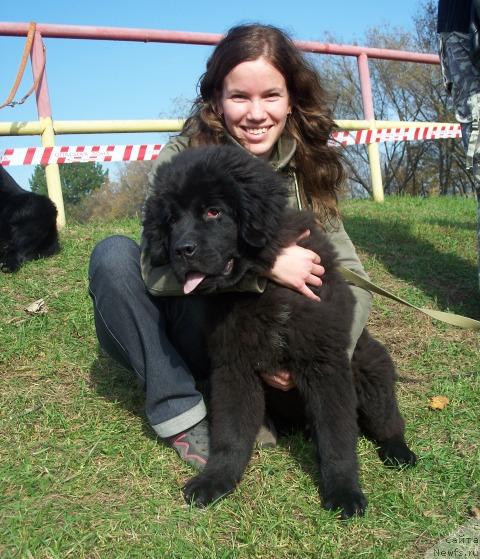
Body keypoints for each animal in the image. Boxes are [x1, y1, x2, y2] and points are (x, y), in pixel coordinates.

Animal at [143, 145, 416, 520]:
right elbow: (229, 433)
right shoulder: (233, 366)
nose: (181, 251)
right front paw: (216, 481)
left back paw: (398, 452)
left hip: (369, 368)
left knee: (388, 418)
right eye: (171, 220)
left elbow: (337, 436)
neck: (265, 285)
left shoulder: (325, 362)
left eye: (213, 211)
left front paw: (344, 492)